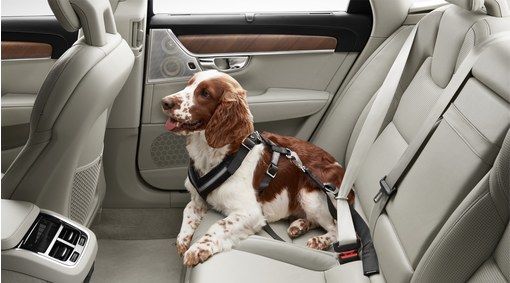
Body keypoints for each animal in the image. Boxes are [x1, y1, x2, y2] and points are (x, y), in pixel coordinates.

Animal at [163, 70, 346, 268]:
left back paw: (319, 240)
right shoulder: (198, 199)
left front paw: (198, 248)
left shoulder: (250, 212)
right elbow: (188, 211)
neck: (216, 156)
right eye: (189, 84)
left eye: (205, 93)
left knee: (338, 230)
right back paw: (299, 226)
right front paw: (182, 240)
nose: (165, 102)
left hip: (309, 194)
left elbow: (220, 225)